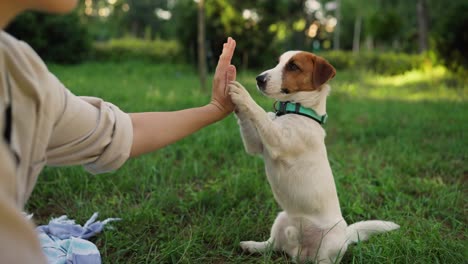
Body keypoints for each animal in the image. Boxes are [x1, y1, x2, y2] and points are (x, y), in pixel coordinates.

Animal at [229, 50, 396, 262]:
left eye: (293, 66)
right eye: (278, 63)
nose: (259, 79)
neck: (297, 111)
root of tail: (300, 253)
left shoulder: (278, 141)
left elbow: (259, 113)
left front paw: (242, 94)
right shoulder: (255, 145)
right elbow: (250, 122)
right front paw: (234, 99)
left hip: (329, 243)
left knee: (320, 259)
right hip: (281, 218)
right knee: (272, 245)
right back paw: (252, 246)